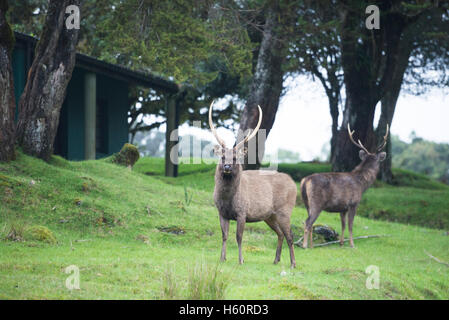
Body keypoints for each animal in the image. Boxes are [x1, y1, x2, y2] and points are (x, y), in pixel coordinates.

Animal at [209, 102, 298, 268]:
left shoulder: (242, 211)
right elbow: (224, 235)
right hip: (269, 216)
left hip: (285, 210)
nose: (227, 167)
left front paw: (241, 260)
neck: (227, 199)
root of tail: (294, 184)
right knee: (280, 233)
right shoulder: (221, 212)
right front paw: (222, 258)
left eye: (235, 157)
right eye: (223, 157)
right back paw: (276, 260)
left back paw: (293, 263)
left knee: (289, 234)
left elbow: (239, 236)